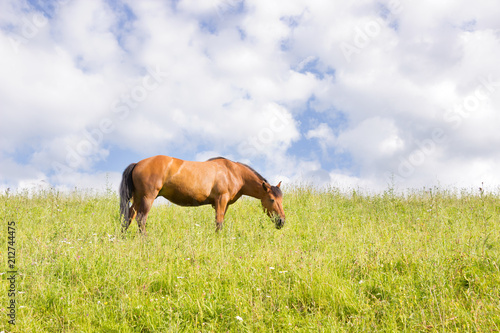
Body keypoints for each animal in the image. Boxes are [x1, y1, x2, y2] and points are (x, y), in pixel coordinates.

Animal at [117, 154, 288, 232]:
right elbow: (219, 222)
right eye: (272, 200)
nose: (281, 221)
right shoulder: (221, 200)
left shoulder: (223, 204)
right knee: (141, 218)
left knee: (129, 217)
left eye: (281, 200)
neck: (233, 172)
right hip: (147, 197)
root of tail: (137, 163)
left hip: (138, 198)